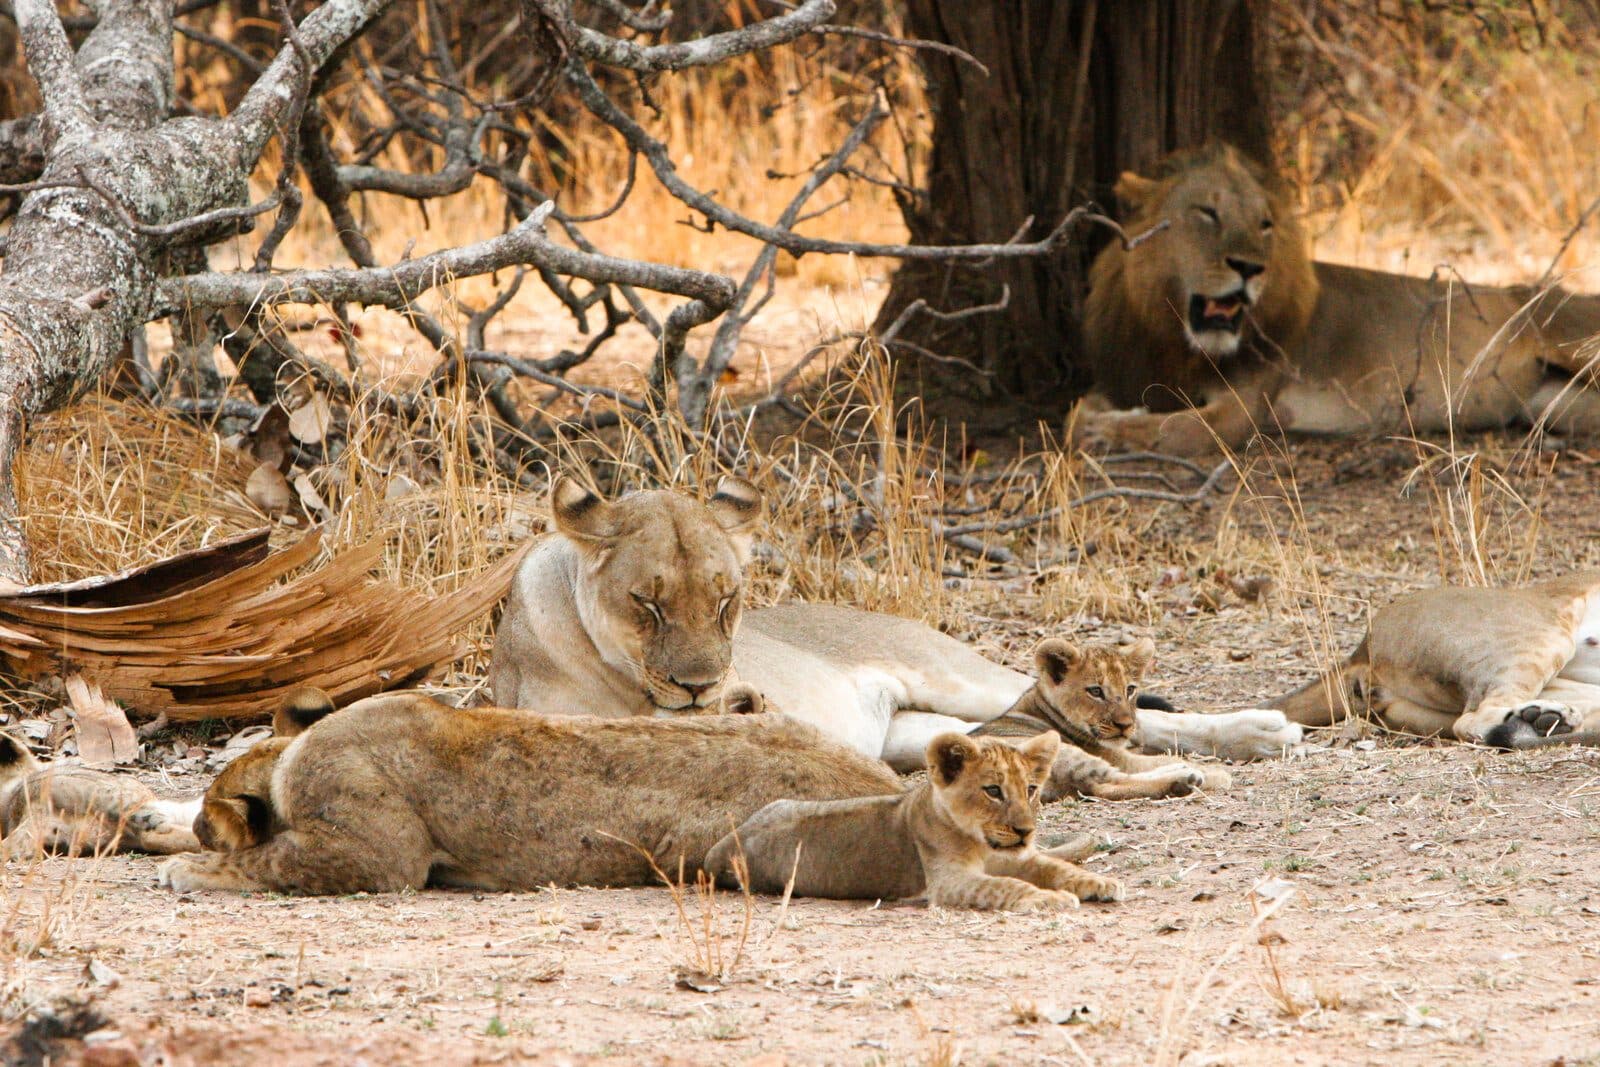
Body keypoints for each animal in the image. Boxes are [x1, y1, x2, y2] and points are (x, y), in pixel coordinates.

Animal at [157, 690, 904, 894]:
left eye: (209, 811)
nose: (196, 827)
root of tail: (890, 784)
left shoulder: (381, 855)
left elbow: (267, 857)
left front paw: (191, 865)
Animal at [488, 475, 1302, 771]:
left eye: (726, 600)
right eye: (648, 603)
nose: (701, 685)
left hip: (959, 676)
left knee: (1136, 716)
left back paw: (1264, 729)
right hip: (922, 731)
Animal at [705, 731, 1122, 912]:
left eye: (1031, 789)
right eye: (993, 791)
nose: (1026, 831)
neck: (981, 842)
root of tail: (718, 849)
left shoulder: (1019, 857)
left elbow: (1055, 867)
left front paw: (1099, 882)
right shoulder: (948, 883)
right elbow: (1007, 886)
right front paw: (1050, 898)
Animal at [972, 638, 1231, 799]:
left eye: (1130, 690)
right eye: (1096, 691)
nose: (1125, 725)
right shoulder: (1115, 755)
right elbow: (1154, 760)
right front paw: (1216, 771)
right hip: (1061, 751)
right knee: (1105, 784)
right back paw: (1187, 777)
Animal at [1075, 143, 1600, 457]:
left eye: (1265, 224)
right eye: (1207, 212)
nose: (1249, 267)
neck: (1173, 337)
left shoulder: (1242, 411)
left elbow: (1166, 430)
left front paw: (1107, 431)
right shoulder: (1132, 375)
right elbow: (1080, 407)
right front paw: (1095, 419)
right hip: (1553, 404)